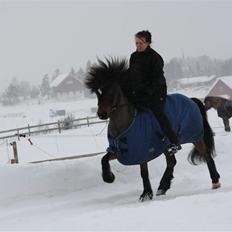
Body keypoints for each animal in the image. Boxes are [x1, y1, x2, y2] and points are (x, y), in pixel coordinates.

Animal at [85, 58, 221, 201]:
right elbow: (104, 159)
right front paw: (109, 177)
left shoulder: (142, 150)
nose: (101, 114)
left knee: (206, 155)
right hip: (166, 145)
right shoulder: (120, 151)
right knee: (172, 162)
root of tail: (191, 100)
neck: (125, 126)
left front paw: (146, 194)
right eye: (98, 92)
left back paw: (215, 181)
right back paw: (163, 187)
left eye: (110, 90)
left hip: (195, 137)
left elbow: (143, 173)